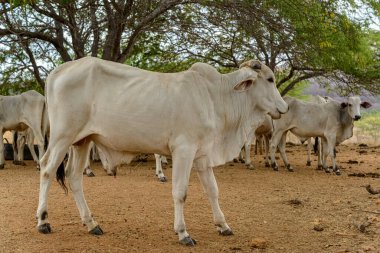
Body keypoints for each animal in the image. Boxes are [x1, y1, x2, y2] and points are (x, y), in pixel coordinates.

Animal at [36, 56, 288, 245]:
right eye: (270, 79)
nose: (284, 107)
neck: (214, 95)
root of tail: (57, 72)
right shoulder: (183, 150)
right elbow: (180, 192)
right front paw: (183, 233)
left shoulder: (203, 155)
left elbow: (213, 190)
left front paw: (223, 225)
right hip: (62, 137)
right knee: (47, 169)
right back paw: (43, 221)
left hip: (82, 141)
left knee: (74, 176)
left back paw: (91, 224)